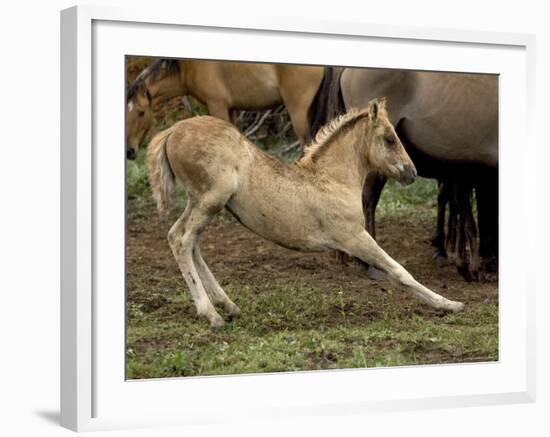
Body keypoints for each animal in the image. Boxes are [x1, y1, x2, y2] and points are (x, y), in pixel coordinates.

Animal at [127, 58, 326, 158]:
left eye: (141, 113)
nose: (129, 151)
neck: (188, 66)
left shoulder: (217, 106)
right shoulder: (230, 110)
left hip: (298, 112)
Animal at [148, 97, 466, 326]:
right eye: (389, 138)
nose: (411, 172)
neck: (333, 180)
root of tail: (173, 130)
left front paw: (449, 303)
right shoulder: (354, 237)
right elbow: (399, 271)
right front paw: (450, 304)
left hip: (201, 203)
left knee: (186, 240)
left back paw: (229, 305)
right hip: (210, 200)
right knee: (182, 241)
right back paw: (211, 314)